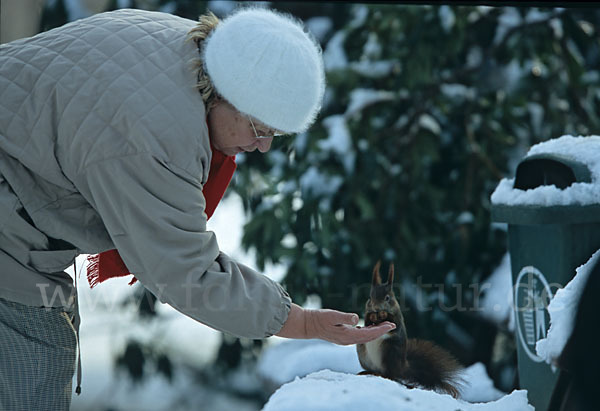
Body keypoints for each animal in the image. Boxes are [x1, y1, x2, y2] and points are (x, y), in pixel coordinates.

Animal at [356, 262, 464, 398]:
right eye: (370, 297)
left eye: (387, 298)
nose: (376, 308)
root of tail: (402, 367)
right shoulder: (367, 313)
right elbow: (368, 321)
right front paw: (373, 316)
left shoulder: (397, 318)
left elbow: (394, 324)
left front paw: (383, 314)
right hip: (363, 352)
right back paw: (367, 372)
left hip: (389, 352)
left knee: (390, 375)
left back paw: (382, 374)